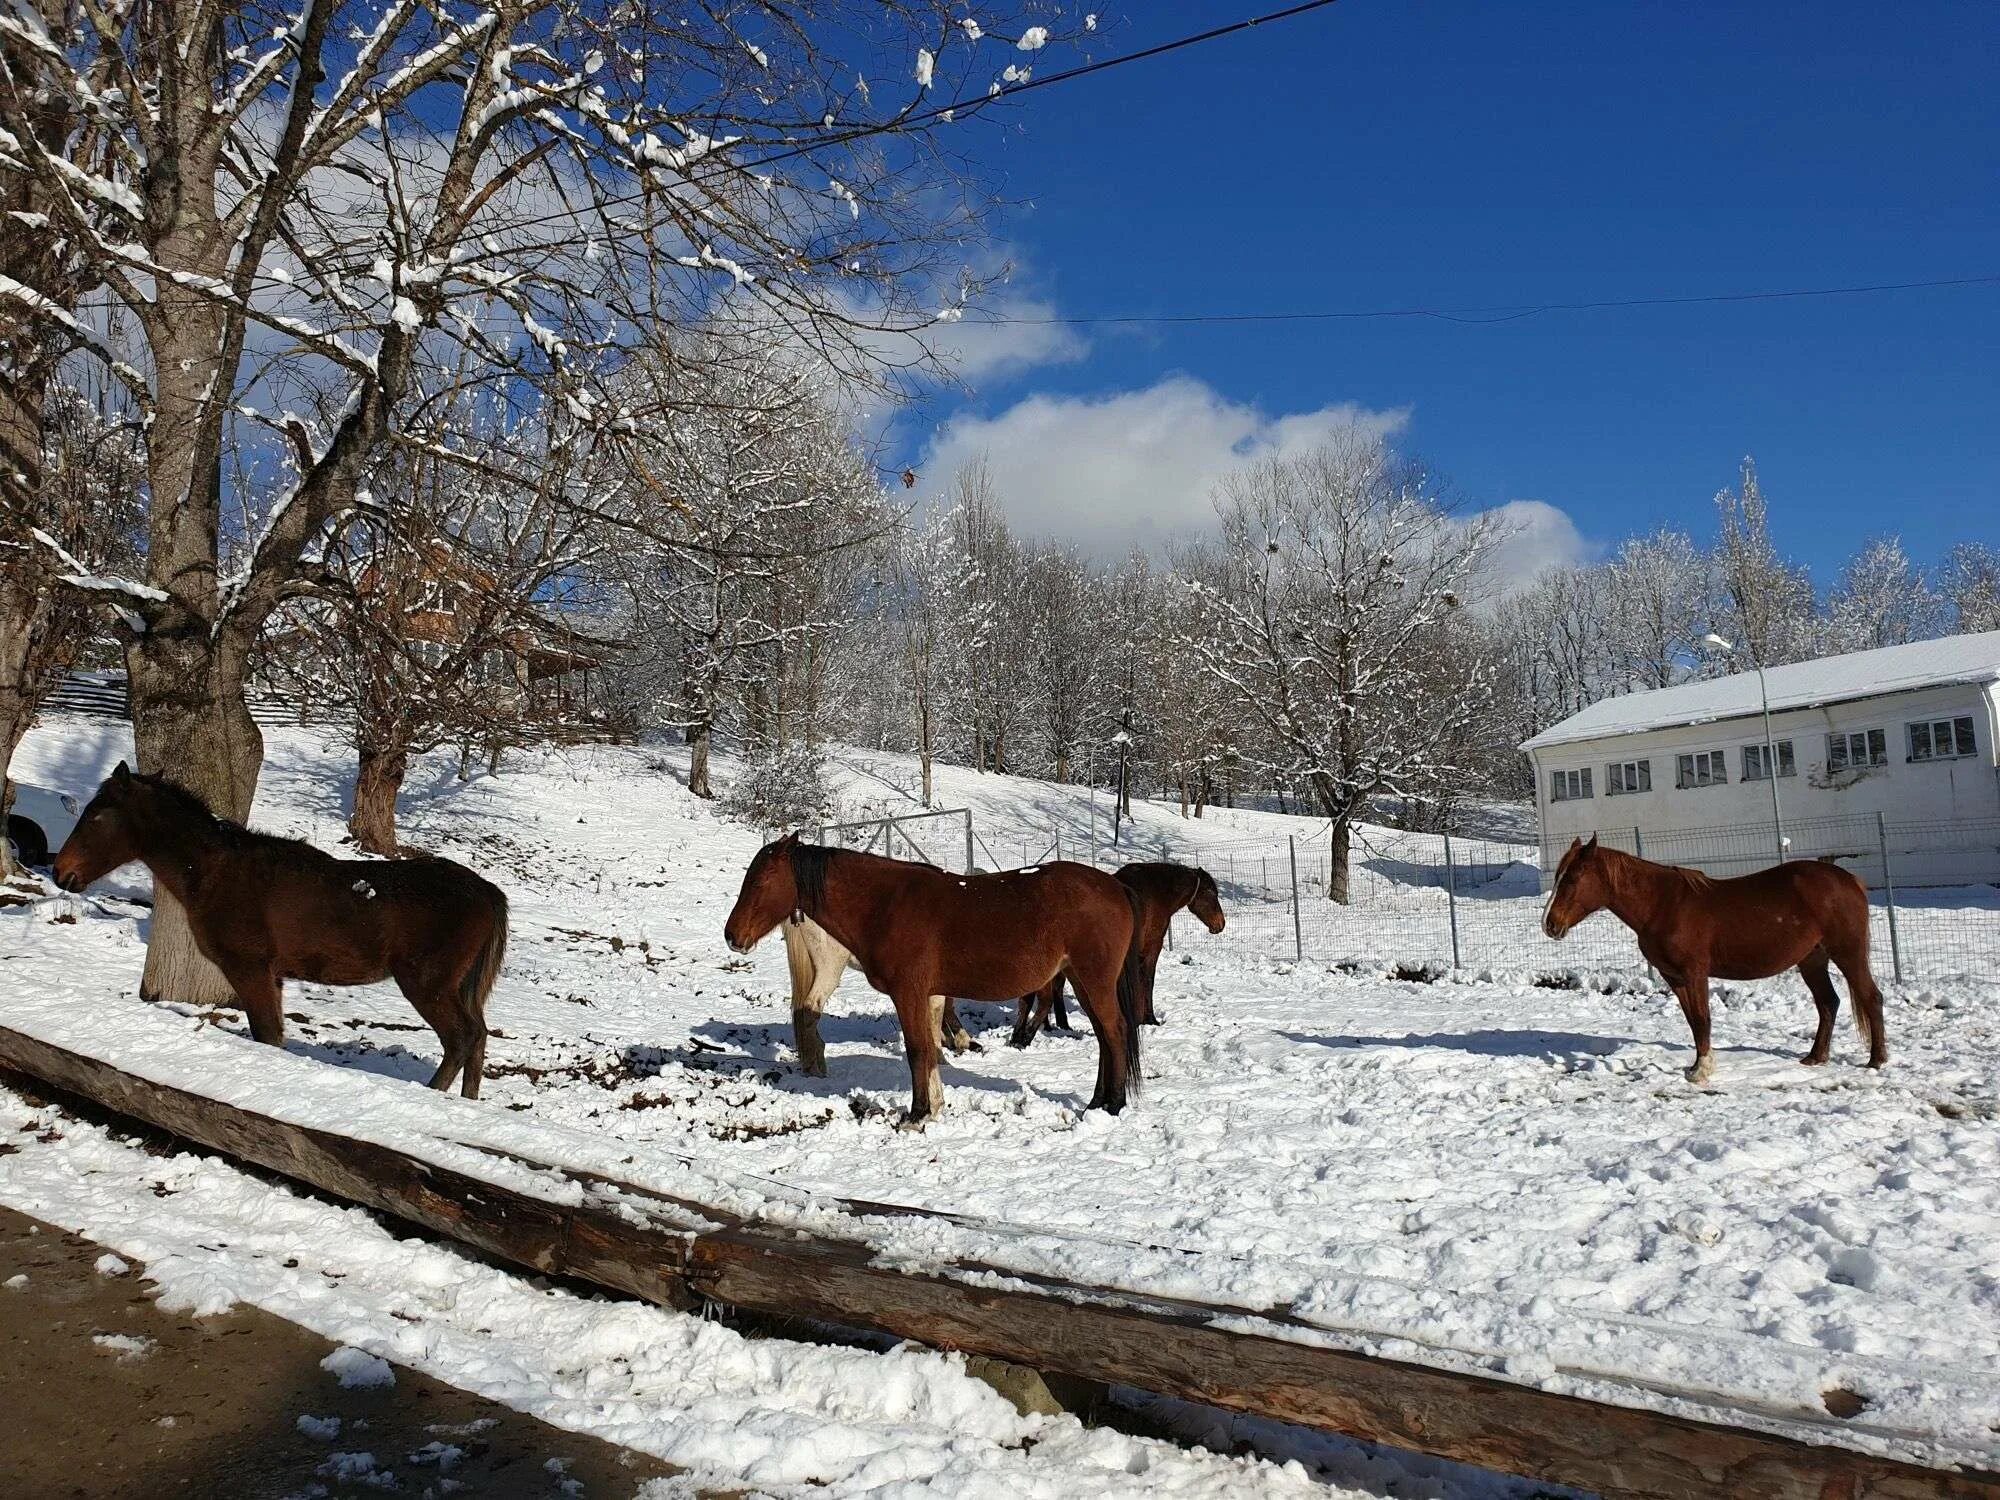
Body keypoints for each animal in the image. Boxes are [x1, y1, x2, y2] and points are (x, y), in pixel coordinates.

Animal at [53, 768, 512, 1096]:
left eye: (96, 816)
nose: (61, 872)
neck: (215, 873)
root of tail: (487, 893)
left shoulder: (249, 968)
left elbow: (267, 1035)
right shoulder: (270, 975)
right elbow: (272, 1036)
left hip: (427, 983)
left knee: (461, 1038)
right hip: (457, 986)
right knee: (478, 1037)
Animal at [732, 840, 1144, 1120]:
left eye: (762, 880)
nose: (732, 935)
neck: (885, 904)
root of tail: (1116, 888)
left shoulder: (908, 993)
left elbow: (919, 1050)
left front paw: (917, 1115)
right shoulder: (927, 995)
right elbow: (930, 1048)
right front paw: (934, 1108)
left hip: (1092, 980)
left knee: (1114, 1032)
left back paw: (1113, 1105)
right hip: (1082, 981)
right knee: (1106, 1036)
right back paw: (1097, 1102)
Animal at [1008, 864, 1224, 1048]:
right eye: (1212, 893)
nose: (1220, 924)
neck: (1155, 893)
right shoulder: (1150, 950)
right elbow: (1147, 982)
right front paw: (1148, 1019)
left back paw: (1055, 1026)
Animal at [1544, 840, 1888, 1088]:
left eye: (1573, 878)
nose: (1550, 924)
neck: (1662, 905)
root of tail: (1850, 880)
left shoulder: (1694, 973)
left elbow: (1703, 1019)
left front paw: (1702, 1071)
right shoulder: (1674, 977)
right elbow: (1693, 1022)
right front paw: (1697, 1066)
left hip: (1848, 953)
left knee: (1871, 997)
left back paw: (1877, 1060)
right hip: (1812, 960)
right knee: (1828, 1003)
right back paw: (1815, 1058)